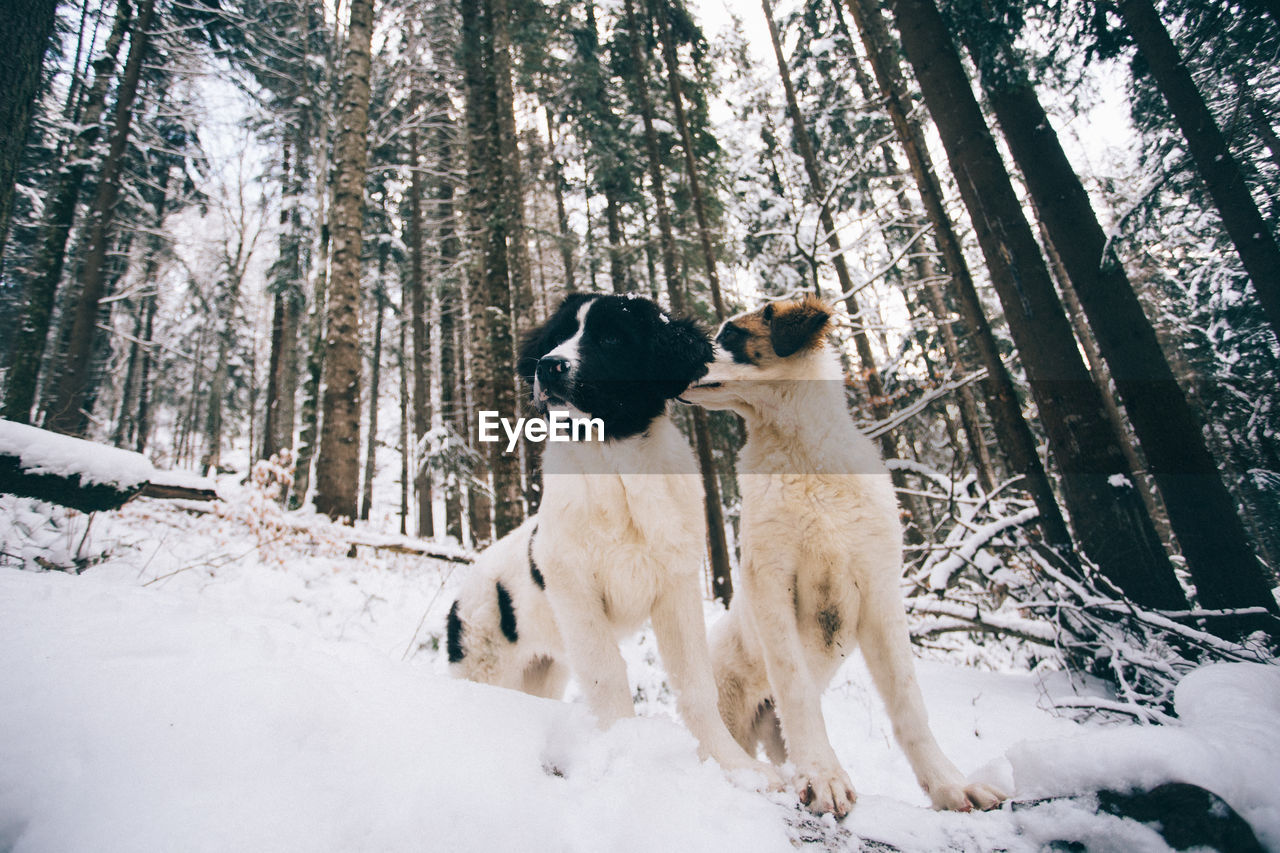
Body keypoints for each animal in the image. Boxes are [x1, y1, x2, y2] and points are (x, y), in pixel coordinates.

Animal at [445, 294, 778, 783]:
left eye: (611, 338)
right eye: (559, 336)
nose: (548, 365)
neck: (617, 466)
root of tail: (461, 593)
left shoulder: (676, 585)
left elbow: (696, 685)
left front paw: (735, 767)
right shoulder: (578, 591)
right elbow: (608, 676)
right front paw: (626, 757)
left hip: (545, 668)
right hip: (484, 663)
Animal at [686, 295, 1003, 814]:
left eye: (731, 335)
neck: (801, 454)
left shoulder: (880, 589)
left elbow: (908, 702)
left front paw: (949, 785)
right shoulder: (771, 583)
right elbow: (796, 688)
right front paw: (824, 776)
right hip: (731, 710)